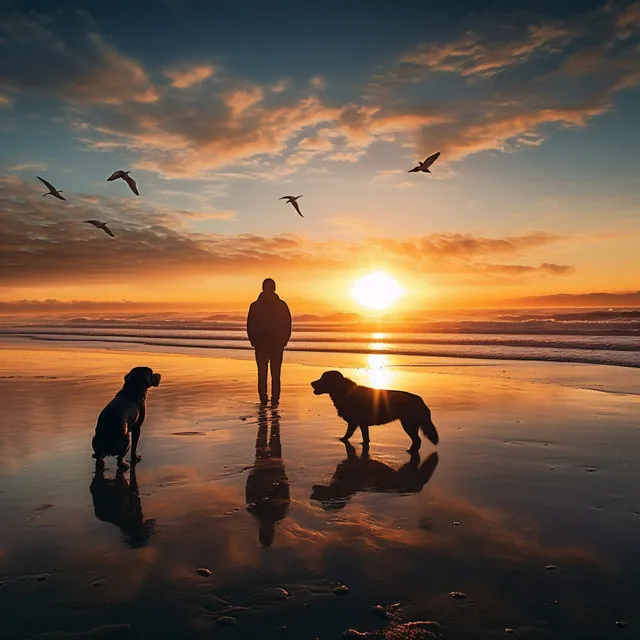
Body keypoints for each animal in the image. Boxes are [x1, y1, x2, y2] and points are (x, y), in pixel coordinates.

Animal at [312, 368, 440, 452]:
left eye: (323, 378)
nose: (311, 382)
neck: (345, 392)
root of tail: (421, 401)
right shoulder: (362, 424)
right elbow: (365, 438)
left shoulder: (354, 422)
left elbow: (348, 434)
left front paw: (342, 439)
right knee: (417, 440)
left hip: (408, 425)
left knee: (417, 440)